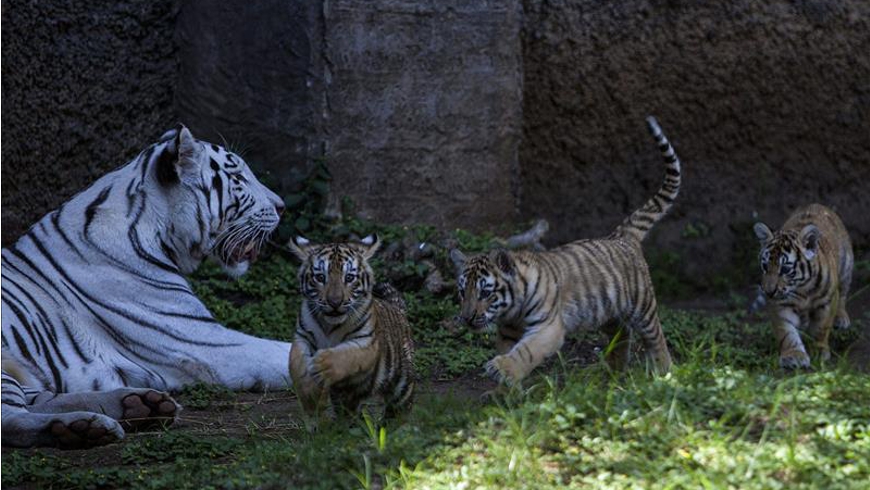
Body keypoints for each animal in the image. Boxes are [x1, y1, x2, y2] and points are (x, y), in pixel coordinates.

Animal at [1, 125, 291, 448]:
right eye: (238, 178)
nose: (282, 206)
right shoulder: (203, 342)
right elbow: (287, 352)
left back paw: (139, 405)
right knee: (11, 419)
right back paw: (81, 427)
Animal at [288, 235, 415, 422]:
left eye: (349, 278)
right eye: (320, 277)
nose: (335, 302)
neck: (329, 324)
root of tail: (398, 309)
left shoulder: (366, 342)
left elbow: (347, 356)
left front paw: (321, 366)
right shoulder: (302, 337)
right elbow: (296, 365)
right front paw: (310, 397)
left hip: (402, 384)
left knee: (401, 407)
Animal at [449, 116, 680, 385]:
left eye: (485, 293)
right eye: (462, 292)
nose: (467, 318)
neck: (512, 310)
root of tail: (622, 236)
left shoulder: (548, 328)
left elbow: (525, 352)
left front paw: (502, 369)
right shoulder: (508, 331)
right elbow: (510, 350)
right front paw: (508, 388)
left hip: (642, 304)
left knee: (656, 337)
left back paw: (665, 373)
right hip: (608, 312)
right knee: (622, 334)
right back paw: (613, 373)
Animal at [752, 204, 854, 369]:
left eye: (785, 269)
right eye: (765, 266)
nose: (768, 291)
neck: (802, 289)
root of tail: (817, 204)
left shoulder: (827, 301)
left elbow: (820, 328)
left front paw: (818, 351)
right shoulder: (779, 304)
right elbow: (786, 332)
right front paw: (794, 355)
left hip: (846, 268)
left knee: (843, 295)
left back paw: (841, 318)